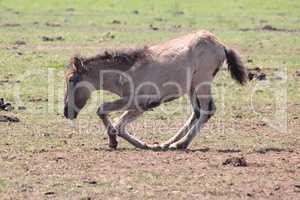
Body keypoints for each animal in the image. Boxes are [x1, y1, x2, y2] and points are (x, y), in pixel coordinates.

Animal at [62, 30, 246, 150]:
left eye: (71, 79)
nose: (66, 111)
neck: (127, 72)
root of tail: (221, 45)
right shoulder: (139, 105)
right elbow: (117, 123)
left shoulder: (138, 104)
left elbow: (109, 117)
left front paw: (121, 142)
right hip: (192, 88)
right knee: (197, 112)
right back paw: (168, 143)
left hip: (202, 83)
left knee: (207, 111)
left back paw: (180, 144)